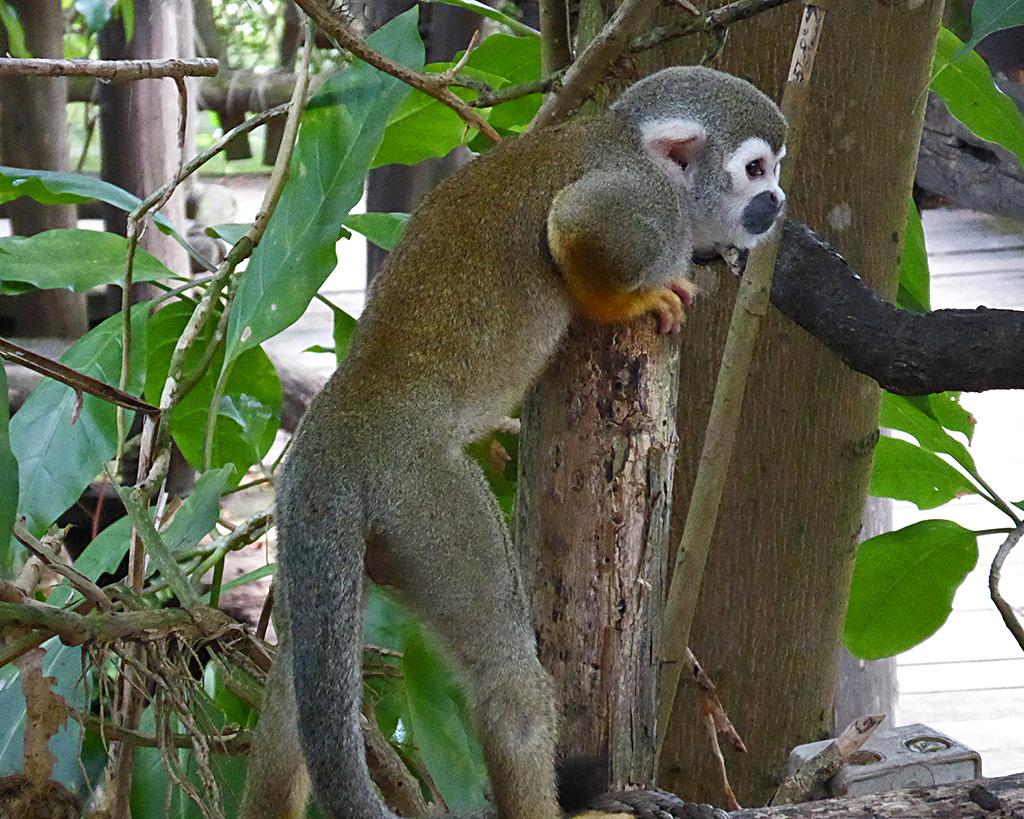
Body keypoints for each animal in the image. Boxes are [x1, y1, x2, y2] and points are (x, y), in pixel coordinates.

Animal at [239, 67, 782, 818]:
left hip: (315, 532)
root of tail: (341, 421)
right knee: (508, 676)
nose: (777, 202)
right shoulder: (649, 206)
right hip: (425, 496)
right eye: (755, 169)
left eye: (775, 171)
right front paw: (624, 303)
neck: (628, 144)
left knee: (296, 670)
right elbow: (573, 225)